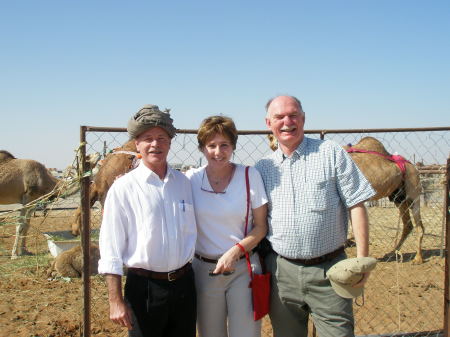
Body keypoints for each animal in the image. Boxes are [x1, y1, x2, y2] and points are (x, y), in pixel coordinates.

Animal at [268, 134, 426, 262]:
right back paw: (392, 253)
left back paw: (418, 258)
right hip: (398, 197)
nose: (274, 144)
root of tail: (414, 167)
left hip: (414, 190)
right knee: (408, 225)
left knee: (419, 225)